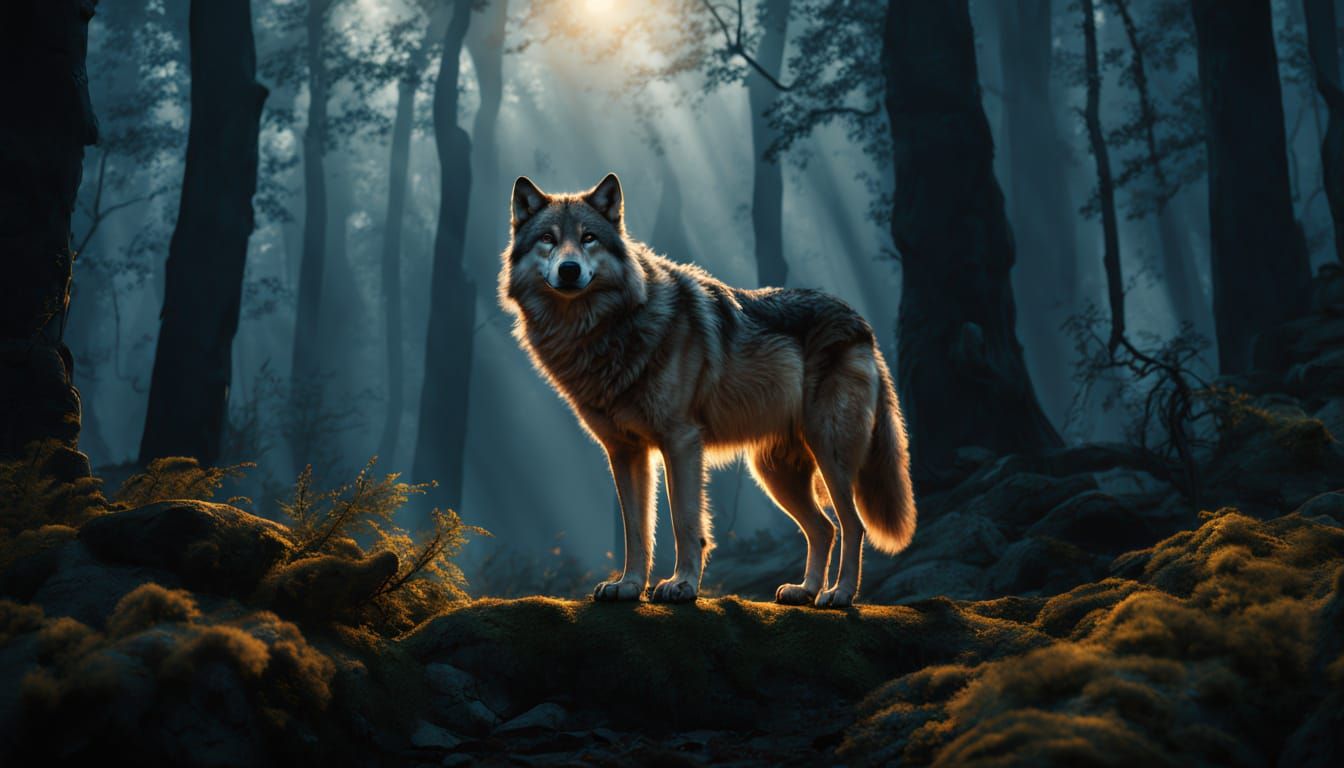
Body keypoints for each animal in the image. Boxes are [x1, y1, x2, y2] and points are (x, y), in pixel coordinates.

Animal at [498, 173, 916, 607]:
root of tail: (863, 327)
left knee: (852, 526)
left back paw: (840, 593)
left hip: (829, 454)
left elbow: (685, 523)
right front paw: (628, 585)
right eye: (548, 238)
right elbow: (636, 530)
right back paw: (804, 590)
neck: (603, 331)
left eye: (589, 238)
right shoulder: (625, 452)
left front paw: (681, 585)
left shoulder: (681, 442)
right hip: (774, 474)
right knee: (823, 528)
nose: (569, 269)